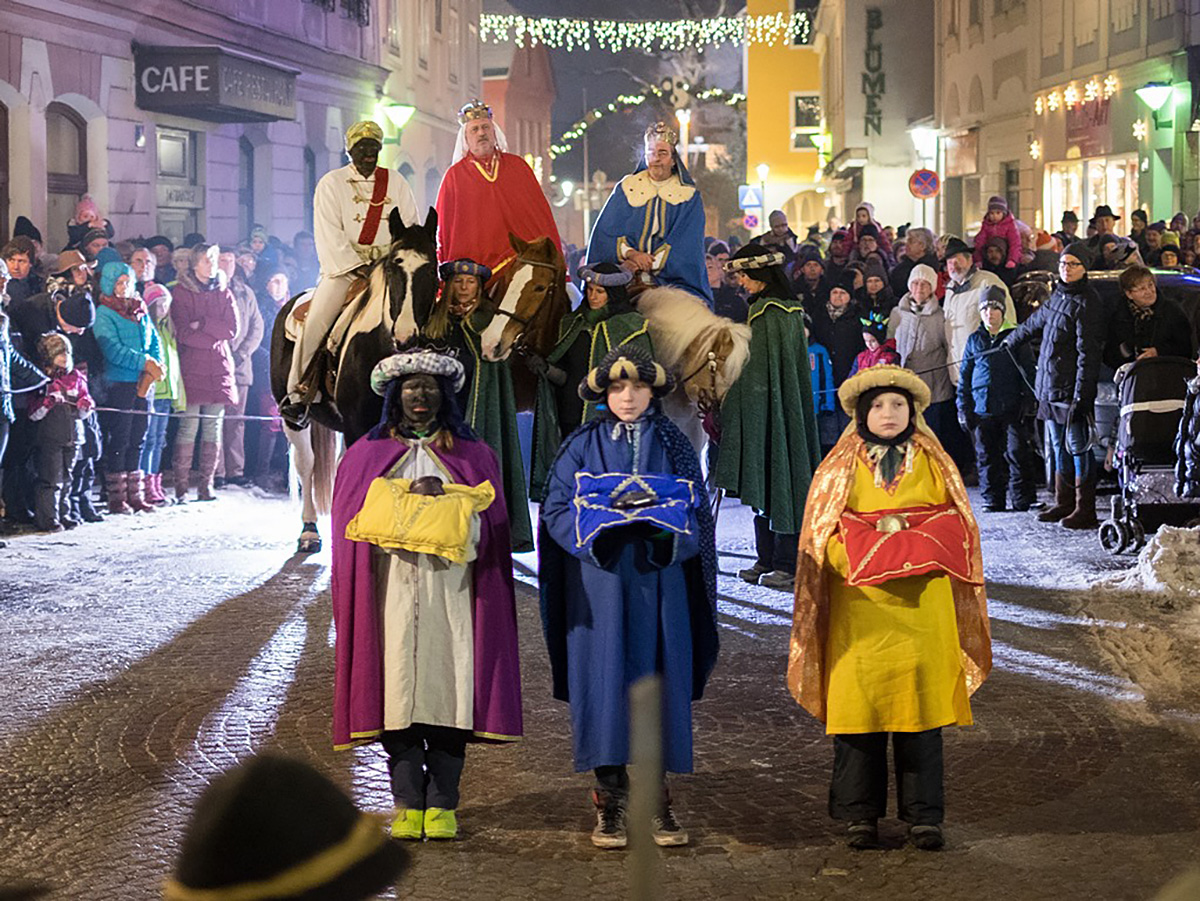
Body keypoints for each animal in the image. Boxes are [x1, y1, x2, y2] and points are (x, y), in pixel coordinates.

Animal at [269, 207, 441, 552]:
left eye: (432, 268)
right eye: (393, 267)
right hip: (293, 420)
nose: (406, 337)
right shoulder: (357, 423)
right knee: (306, 464)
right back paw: (309, 531)